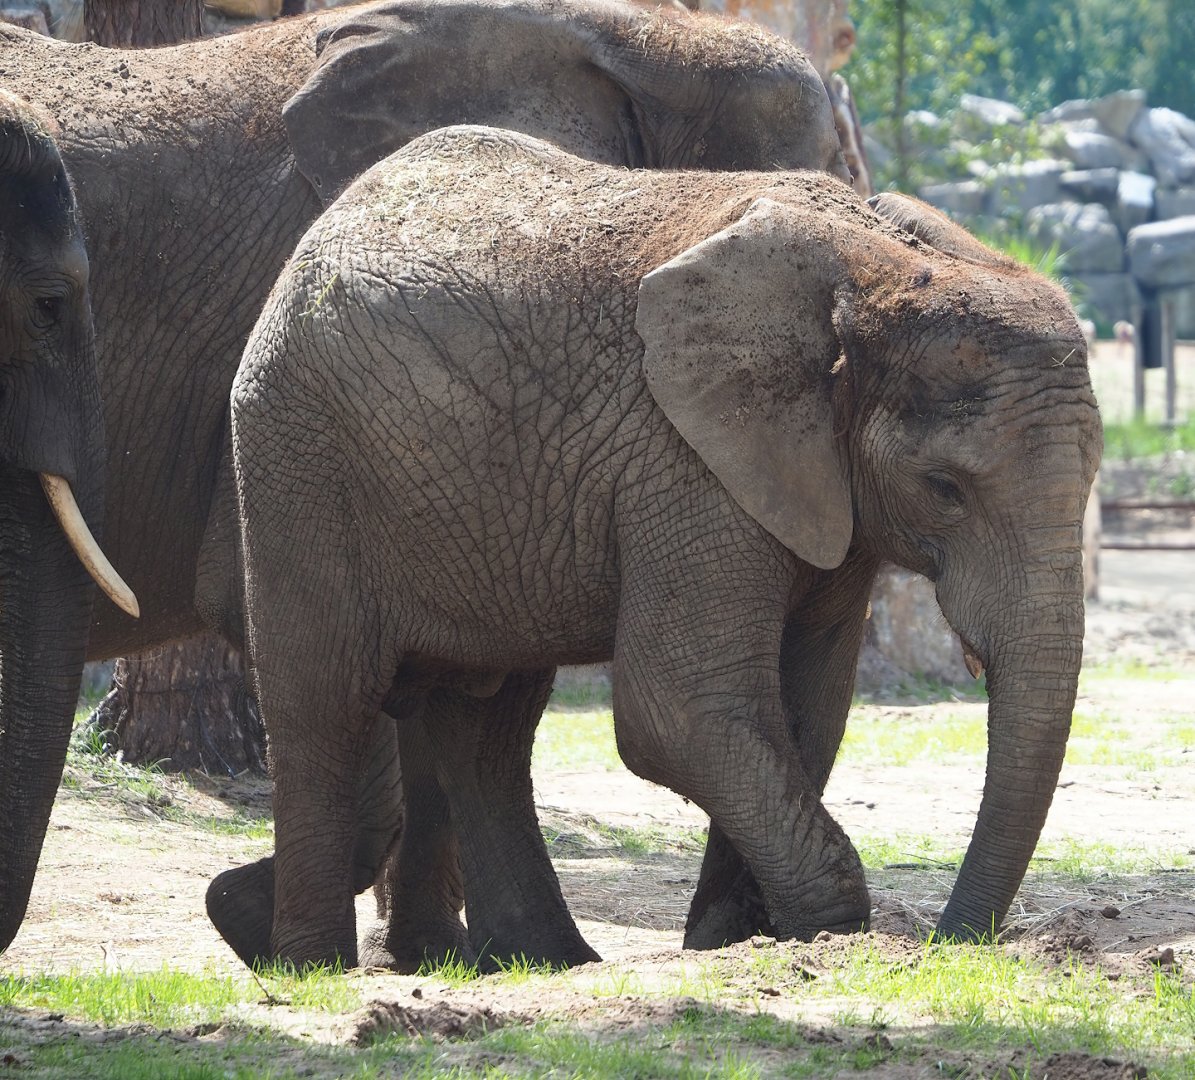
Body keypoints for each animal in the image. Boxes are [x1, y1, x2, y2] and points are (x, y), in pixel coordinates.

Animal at [229, 126, 1102, 971]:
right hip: (296, 452)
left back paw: (543, 961)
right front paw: (824, 933)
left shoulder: (816, 485)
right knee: (323, 703)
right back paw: (308, 965)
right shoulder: (681, 454)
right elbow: (680, 707)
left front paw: (732, 939)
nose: (949, 942)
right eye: (944, 487)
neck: (879, 264)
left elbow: (803, 708)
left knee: (486, 723)